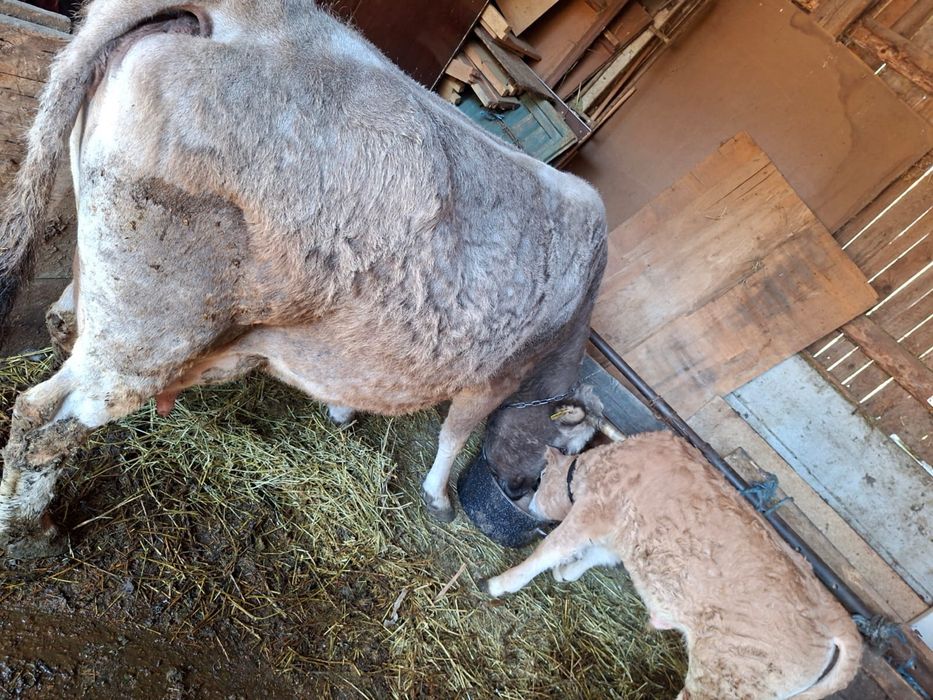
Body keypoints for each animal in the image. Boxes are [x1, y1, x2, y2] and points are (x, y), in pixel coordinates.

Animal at [0, 0, 607, 558]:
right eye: (568, 450)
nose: (523, 495)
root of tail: (235, 14)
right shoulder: (495, 377)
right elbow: (455, 435)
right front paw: (438, 495)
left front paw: (343, 411)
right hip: (148, 328)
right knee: (41, 419)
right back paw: (30, 531)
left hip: (99, 278)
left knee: (60, 328)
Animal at [481, 433, 862, 699]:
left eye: (541, 477)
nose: (528, 501)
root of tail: (835, 617)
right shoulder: (618, 531)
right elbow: (596, 555)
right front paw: (567, 572)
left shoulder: (594, 511)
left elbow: (551, 548)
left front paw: (502, 583)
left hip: (728, 682)